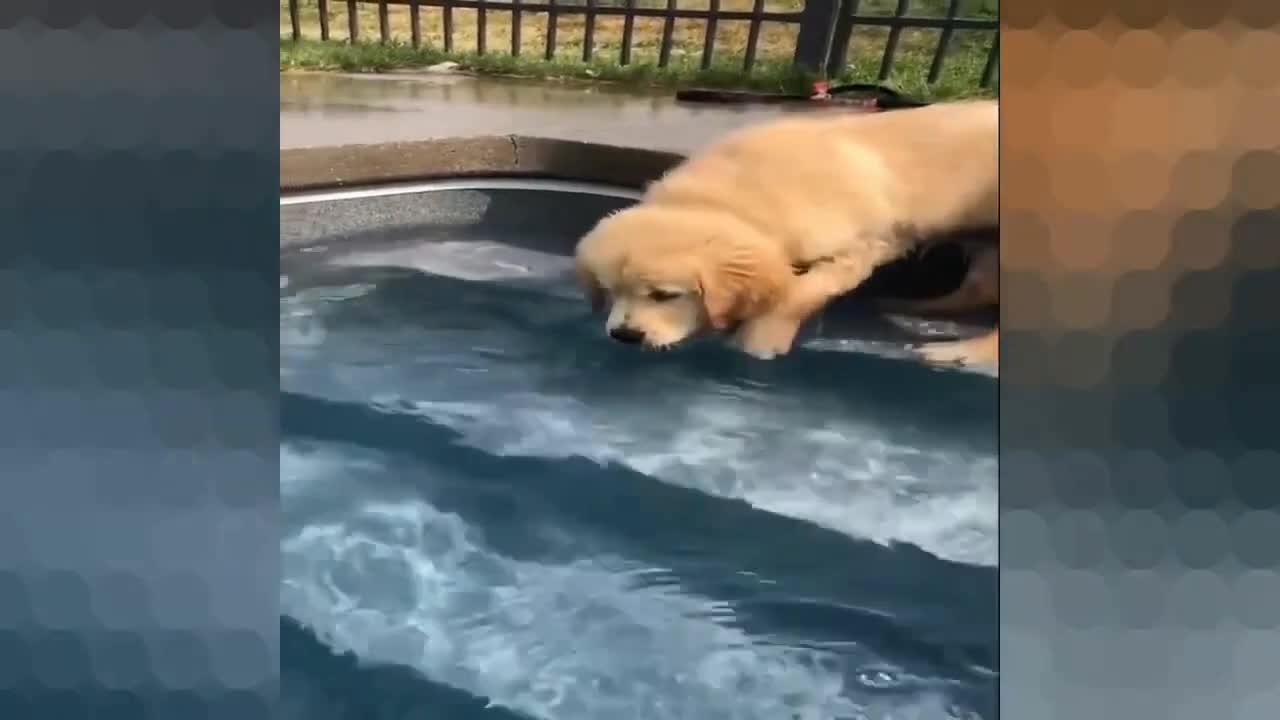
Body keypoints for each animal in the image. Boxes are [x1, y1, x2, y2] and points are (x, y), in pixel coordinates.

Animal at [573, 96, 998, 358]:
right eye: (610, 291)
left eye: (665, 295)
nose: (624, 335)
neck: (733, 197)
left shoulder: (863, 247)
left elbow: (801, 292)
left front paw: (762, 337)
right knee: (977, 288)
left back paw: (960, 353)